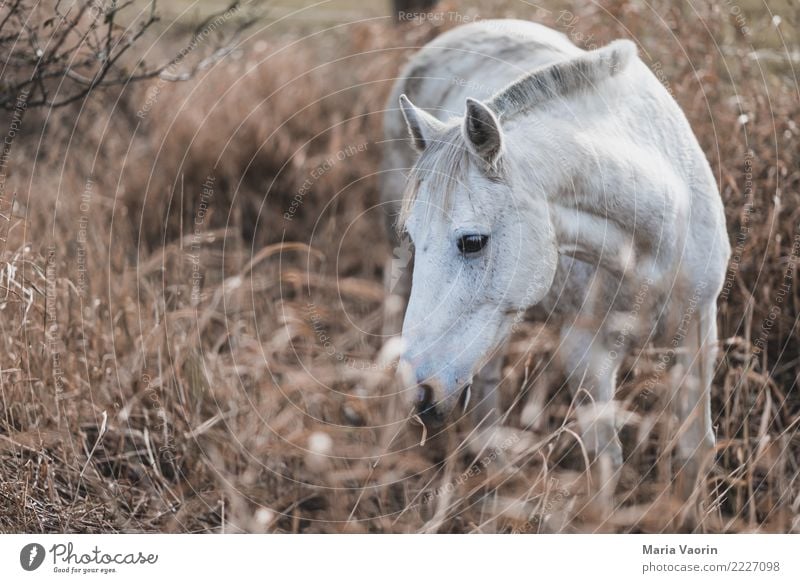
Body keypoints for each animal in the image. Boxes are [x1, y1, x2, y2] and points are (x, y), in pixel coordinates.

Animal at [382, 19, 732, 488]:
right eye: (414, 235)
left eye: (472, 241)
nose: (421, 391)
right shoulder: (584, 349)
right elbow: (605, 461)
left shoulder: (698, 327)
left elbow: (695, 451)